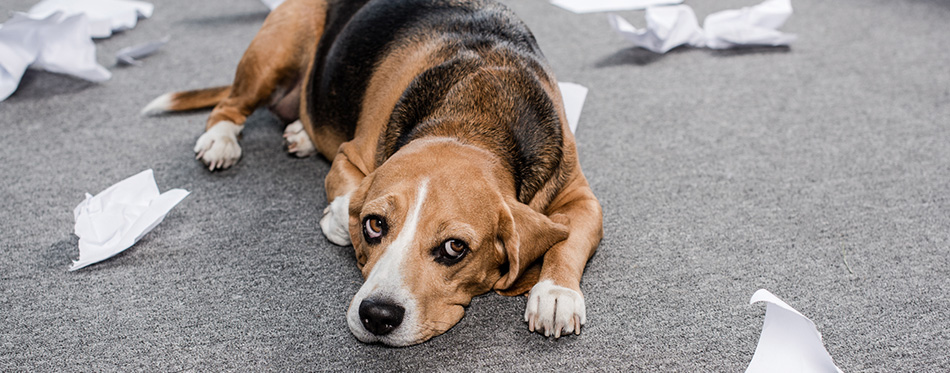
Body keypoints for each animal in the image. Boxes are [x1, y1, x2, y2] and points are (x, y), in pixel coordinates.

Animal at [141, 0, 604, 344]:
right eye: (375, 225)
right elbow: (347, 195)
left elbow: (569, 240)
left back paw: (300, 133)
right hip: (277, 47)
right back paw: (221, 141)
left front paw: (555, 293)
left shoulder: (584, 198)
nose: (377, 316)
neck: (471, 120)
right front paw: (336, 219)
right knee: (229, 106)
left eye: (454, 248)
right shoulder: (351, 155)